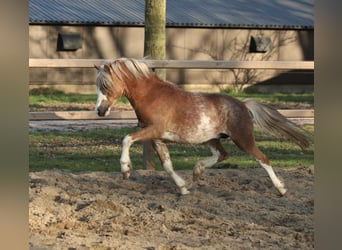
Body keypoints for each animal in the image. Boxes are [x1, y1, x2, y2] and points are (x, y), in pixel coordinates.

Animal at [94, 58, 310, 195]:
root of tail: (243, 105)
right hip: (212, 139)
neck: (152, 96)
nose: (100, 110)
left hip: (243, 139)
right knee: (222, 154)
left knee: (262, 159)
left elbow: (127, 138)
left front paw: (125, 169)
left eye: (106, 85)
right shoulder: (157, 138)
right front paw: (183, 187)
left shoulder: (154, 130)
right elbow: (167, 165)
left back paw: (281, 189)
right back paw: (197, 170)